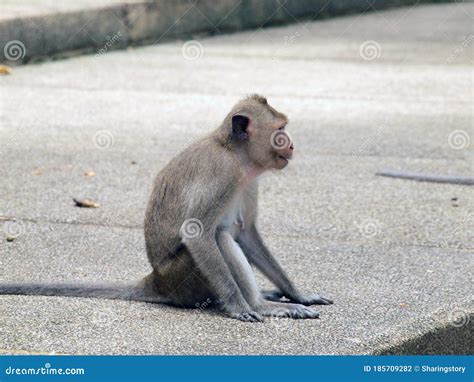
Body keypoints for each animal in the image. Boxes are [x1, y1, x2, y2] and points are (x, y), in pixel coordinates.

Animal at [0, 95, 334, 322]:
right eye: (280, 130)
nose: (291, 144)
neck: (235, 154)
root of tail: (157, 280)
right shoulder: (223, 174)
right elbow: (198, 234)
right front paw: (241, 307)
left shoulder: (249, 182)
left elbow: (248, 234)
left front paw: (297, 293)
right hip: (183, 276)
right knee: (220, 237)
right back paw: (259, 304)